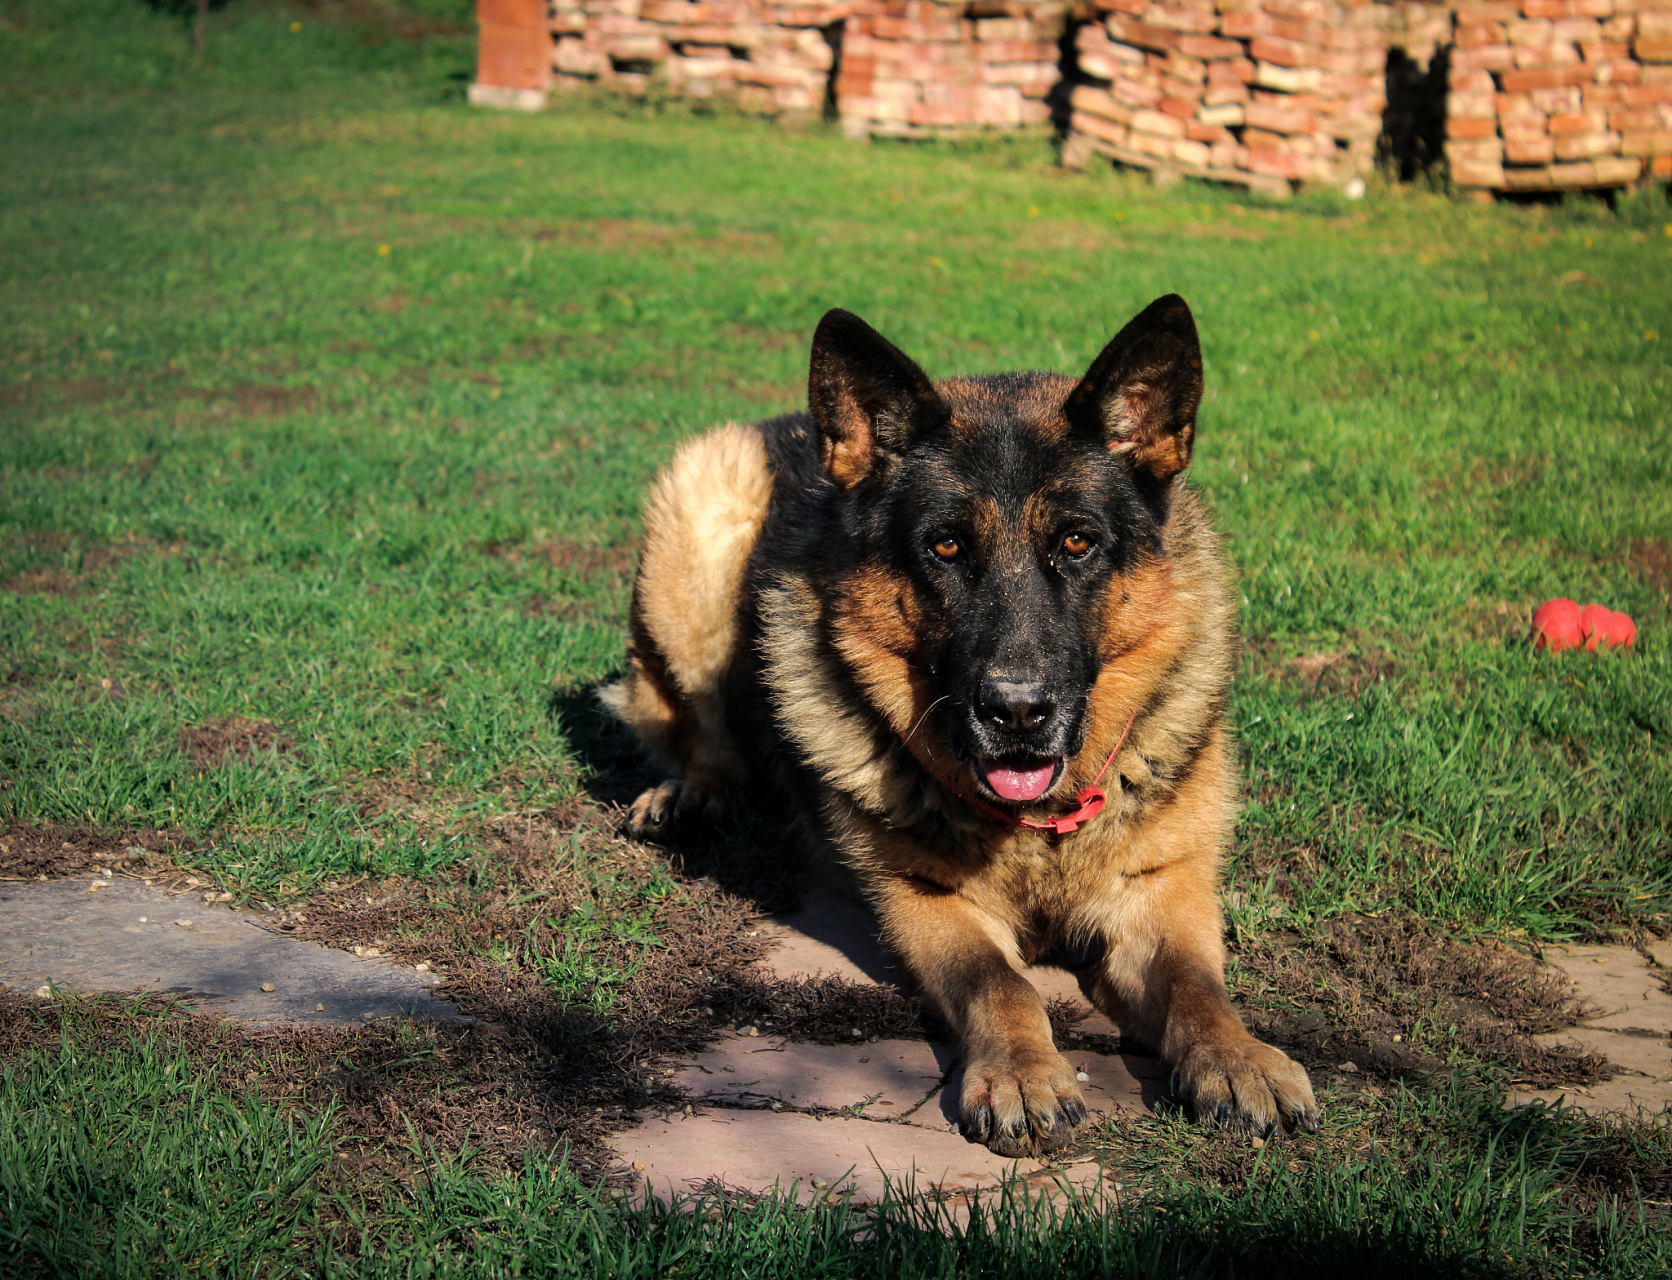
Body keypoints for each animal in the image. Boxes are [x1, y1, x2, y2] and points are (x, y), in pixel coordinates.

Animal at [601, 300, 1317, 1163]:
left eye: (1077, 542)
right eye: (945, 546)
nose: (1017, 712)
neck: (1040, 831)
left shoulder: (1164, 892)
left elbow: (1196, 984)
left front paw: (1237, 1056)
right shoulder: (926, 904)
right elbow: (999, 983)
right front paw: (1021, 1071)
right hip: (699, 516)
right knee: (707, 735)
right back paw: (691, 795)